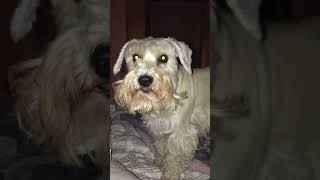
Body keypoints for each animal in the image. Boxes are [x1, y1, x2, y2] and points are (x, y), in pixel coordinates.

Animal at [112, 37, 210, 179]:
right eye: (135, 57)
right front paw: (159, 161)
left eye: (164, 58)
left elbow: (173, 158)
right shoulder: (158, 128)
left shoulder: (180, 134)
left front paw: (169, 174)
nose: (145, 80)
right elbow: (160, 147)